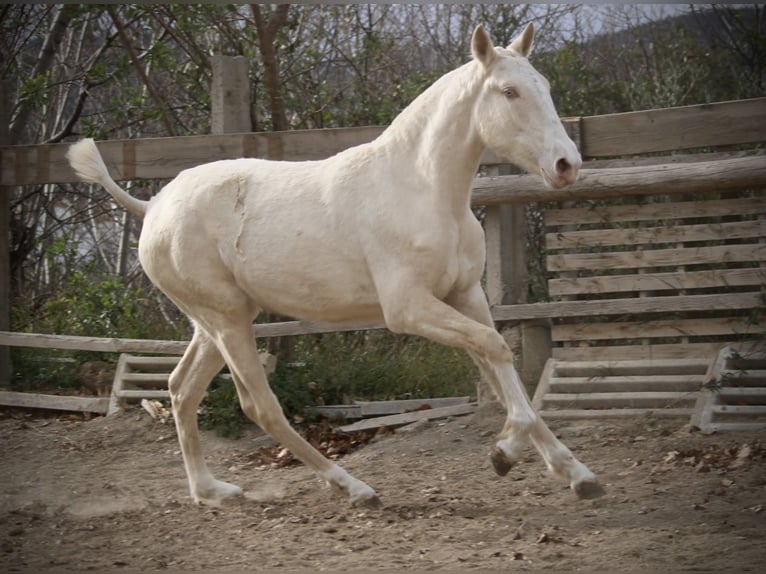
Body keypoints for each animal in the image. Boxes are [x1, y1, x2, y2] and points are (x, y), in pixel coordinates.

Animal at [67, 23, 608, 508]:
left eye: (545, 87)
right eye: (508, 91)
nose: (567, 165)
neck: (422, 189)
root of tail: (153, 205)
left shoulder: (465, 295)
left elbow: (499, 367)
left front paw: (578, 476)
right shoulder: (409, 308)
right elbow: (498, 352)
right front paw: (504, 453)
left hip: (213, 322)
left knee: (181, 389)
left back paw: (212, 493)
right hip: (227, 320)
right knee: (258, 405)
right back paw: (355, 488)